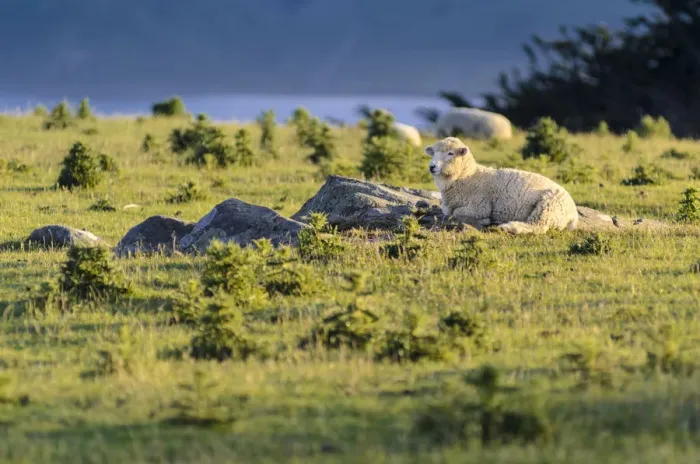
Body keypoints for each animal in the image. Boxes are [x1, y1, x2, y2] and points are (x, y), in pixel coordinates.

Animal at [425, 137, 578, 234]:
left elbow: (457, 213)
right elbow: (449, 212)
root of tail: (573, 215)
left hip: (548, 206)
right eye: (434, 153)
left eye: (450, 153)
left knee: (537, 226)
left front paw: (486, 220)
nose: (432, 167)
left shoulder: (479, 206)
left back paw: (509, 227)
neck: (468, 177)